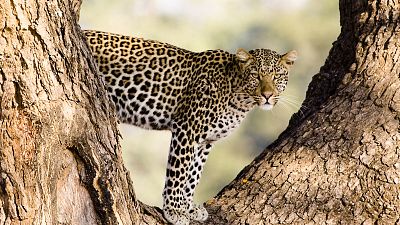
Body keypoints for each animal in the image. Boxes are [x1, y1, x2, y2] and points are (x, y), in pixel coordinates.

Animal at [83, 29, 296, 225]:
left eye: (277, 76)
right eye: (255, 76)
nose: (268, 95)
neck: (239, 98)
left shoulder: (206, 140)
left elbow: (193, 174)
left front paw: (189, 207)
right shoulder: (187, 128)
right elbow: (179, 171)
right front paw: (175, 210)